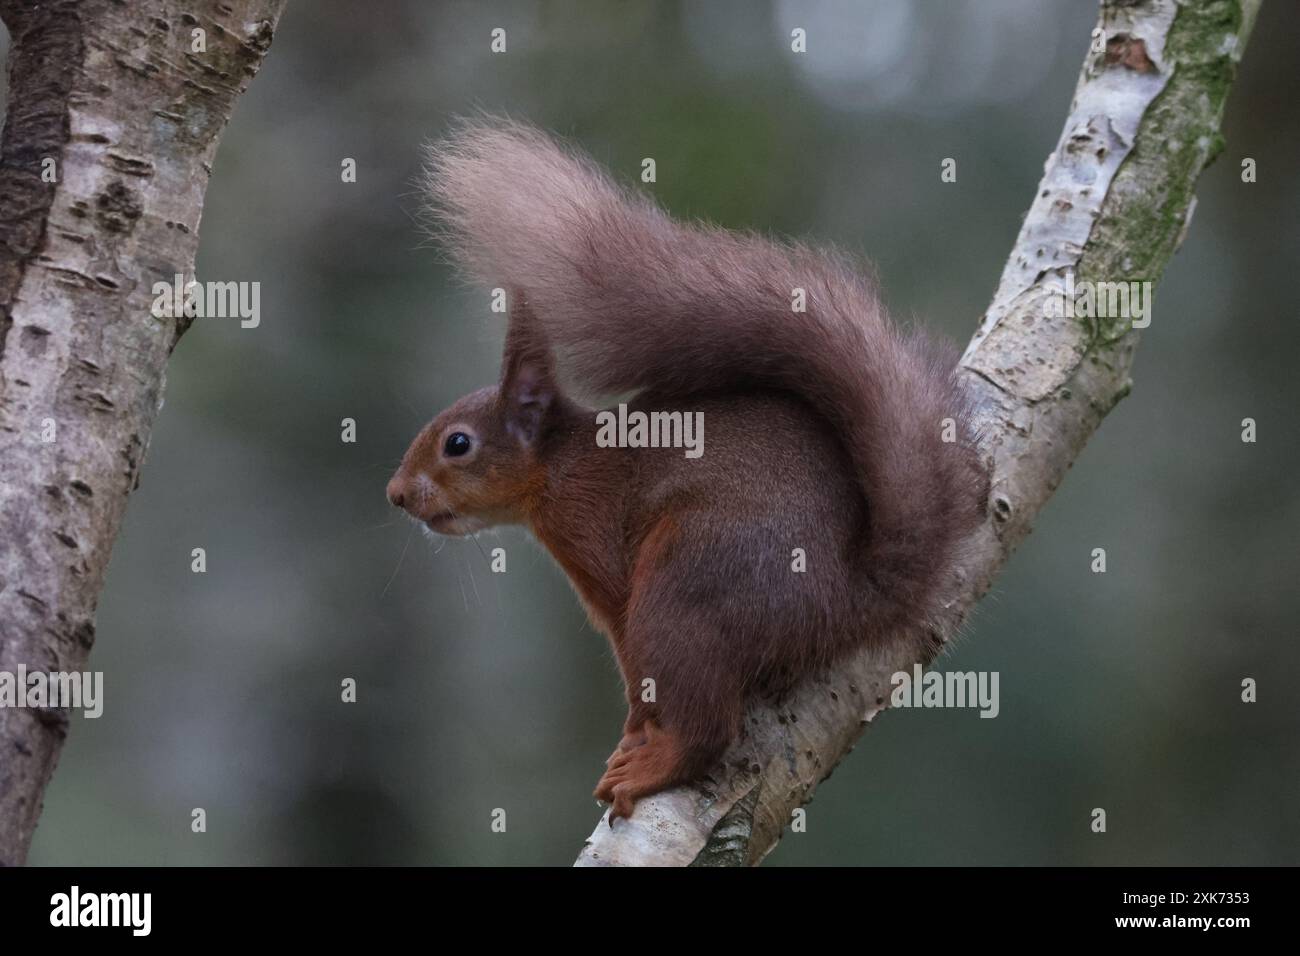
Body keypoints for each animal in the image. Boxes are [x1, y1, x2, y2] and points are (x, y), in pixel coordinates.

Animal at [384, 119, 982, 822]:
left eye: (458, 444)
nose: (395, 494)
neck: (560, 467)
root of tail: (844, 595)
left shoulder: (599, 550)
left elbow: (629, 658)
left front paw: (637, 726)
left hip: (689, 579)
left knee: (708, 726)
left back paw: (657, 765)